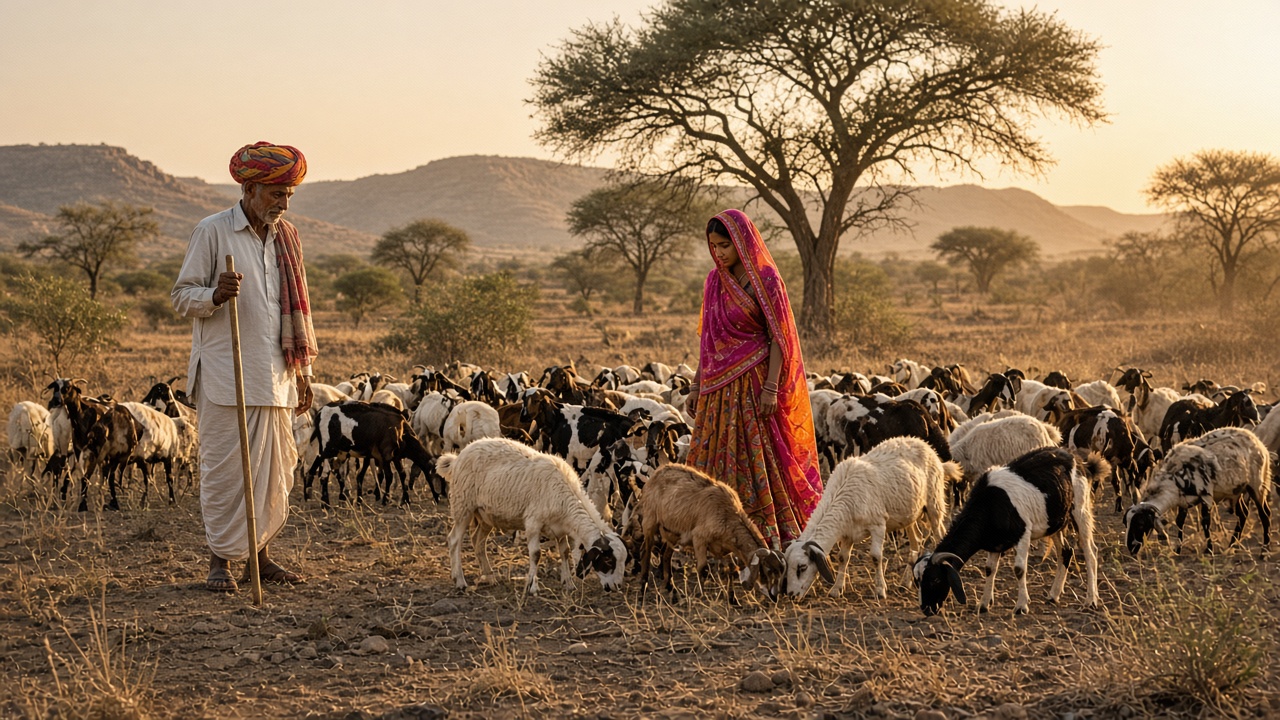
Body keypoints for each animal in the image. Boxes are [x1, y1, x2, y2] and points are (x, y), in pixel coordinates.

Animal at [440, 438, 627, 594]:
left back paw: (490, 576)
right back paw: (460, 581)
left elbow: (564, 552)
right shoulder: (533, 523)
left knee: (478, 541)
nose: (616, 587)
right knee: (454, 540)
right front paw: (533, 587)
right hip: (463, 505)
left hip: (486, 515)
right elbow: (536, 554)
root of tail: (457, 459)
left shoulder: (560, 529)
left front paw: (568, 583)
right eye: (608, 561)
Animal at [635, 463, 785, 603]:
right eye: (767, 571)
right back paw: (643, 588)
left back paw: (670, 588)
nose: (774, 597)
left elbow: (730, 570)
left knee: (666, 555)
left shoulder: (723, 548)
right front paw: (702, 596)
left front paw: (733, 599)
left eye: (780, 574)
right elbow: (702, 568)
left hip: (672, 532)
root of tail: (659, 470)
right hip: (650, 521)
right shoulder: (699, 538)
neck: (729, 515)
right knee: (645, 552)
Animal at [783, 437, 958, 600]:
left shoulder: (878, 525)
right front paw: (836, 589)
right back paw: (905, 582)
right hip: (910, 513)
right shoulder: (847, 532)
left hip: (934, 503)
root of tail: (924, 444)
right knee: (917, 541)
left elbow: (875, 557)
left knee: (939, 533)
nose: (791, 595)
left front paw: (880, 590)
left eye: (802, 567)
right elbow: (842, 558)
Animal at [913, 448, 1106, 616]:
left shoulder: (1023, 533)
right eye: (917, 582)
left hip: (1080, 509)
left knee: (1091, 552)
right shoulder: (994, 542)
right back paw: (1053, 595)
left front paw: (1021, 606)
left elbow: (1019, 569)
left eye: (935, 579)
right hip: (1055, 520)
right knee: (1066, 552)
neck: (989, 504)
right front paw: (983, 604)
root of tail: (1078, 460)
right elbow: (989, 569)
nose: (927, 609)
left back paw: (1091, 600)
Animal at [1124, 427, 1271, 556]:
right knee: (1243, 514)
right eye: (1126, 523)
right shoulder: (1183, 501)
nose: (1131, 548)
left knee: (1264, 514)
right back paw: (1232, 545)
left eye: (1140, 524)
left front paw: (1209, 550)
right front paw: (1178, 549)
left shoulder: (1206, 496)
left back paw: (1264, 551)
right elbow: (1179, 522)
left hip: (1256, 485)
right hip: (1236, 490)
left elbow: (1205, 521)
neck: (1173, 479)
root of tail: (1258, 443)